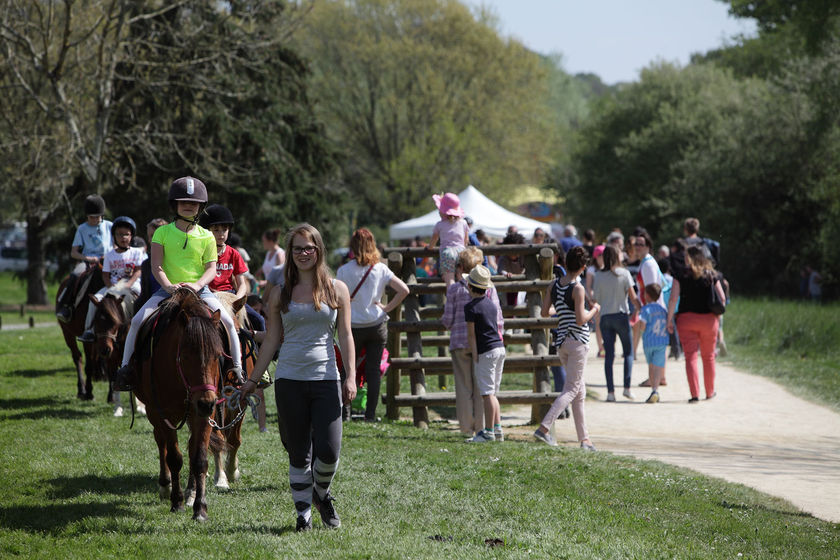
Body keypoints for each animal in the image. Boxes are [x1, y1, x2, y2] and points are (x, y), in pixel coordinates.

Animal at [55, 264, 106, 400]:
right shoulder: (86, 338)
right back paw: (81, 389)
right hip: (67, 333)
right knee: (77, 357)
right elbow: (87, 364)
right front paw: (89, 392)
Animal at [130, 286, 225, 524]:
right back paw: (165, 486)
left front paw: (200, 507)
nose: (206, 402)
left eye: (218, 355)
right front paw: (177, 502)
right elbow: (174, 457)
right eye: (186, 355)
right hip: (154, 413)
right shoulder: (164, 413)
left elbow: (199, 458)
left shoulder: (203, 415)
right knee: (160, 442)